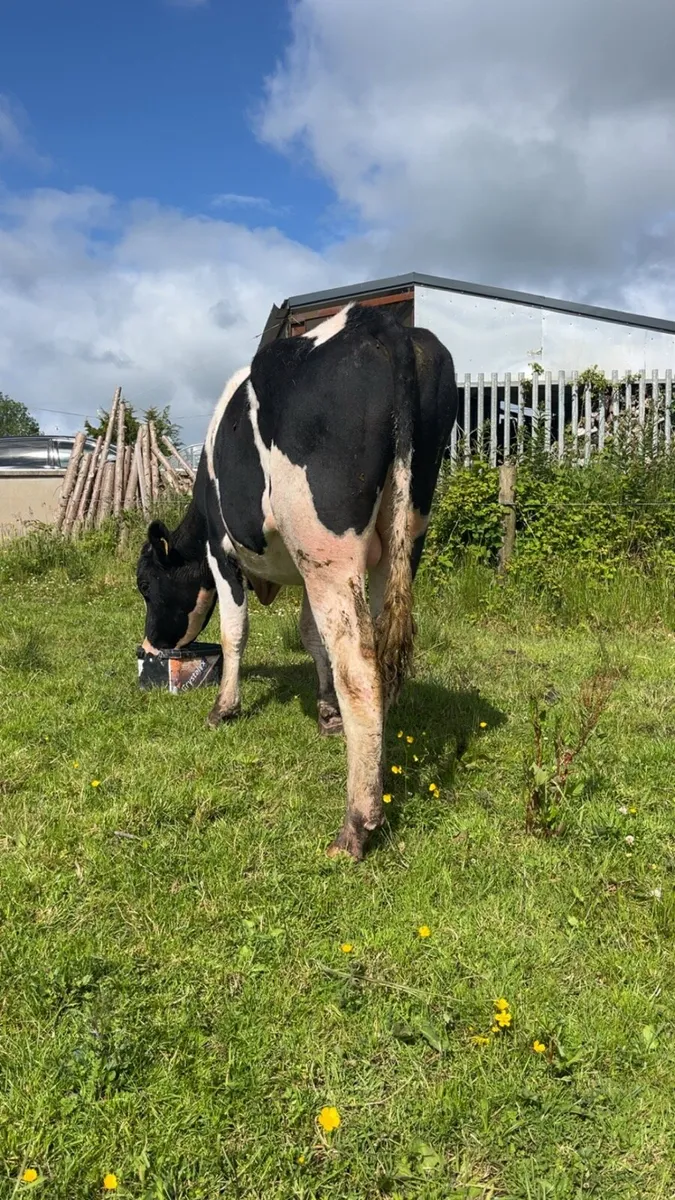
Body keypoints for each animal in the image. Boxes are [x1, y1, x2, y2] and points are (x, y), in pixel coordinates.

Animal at [136, 303, 457, 860]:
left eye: (147, 585)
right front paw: (326, 713)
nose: (152, 642)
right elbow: (311, 637)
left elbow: (234, 633)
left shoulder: (222, 550)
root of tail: (376, 323)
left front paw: (224, 708)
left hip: (329, 552)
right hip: (400, 536)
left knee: (361, 667)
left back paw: (356, 823)